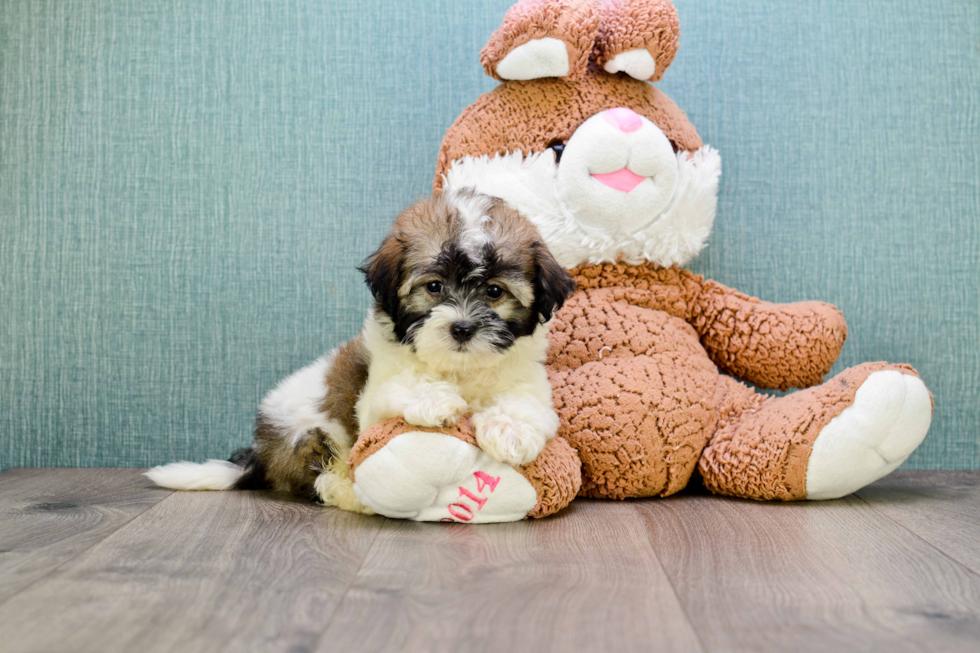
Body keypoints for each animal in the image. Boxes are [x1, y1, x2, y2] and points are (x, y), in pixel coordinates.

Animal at [145, 188, 576, 516]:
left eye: (494, 291)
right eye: (434, 287)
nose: (462, 328)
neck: (457, 368)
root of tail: (262, 453)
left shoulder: (528, 383)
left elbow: (525, 405)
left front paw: (508, 430)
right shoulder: (373, 399)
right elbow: (401, 387)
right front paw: (436, 401)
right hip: (310, 435)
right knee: (320, 477)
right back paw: (351, 495)